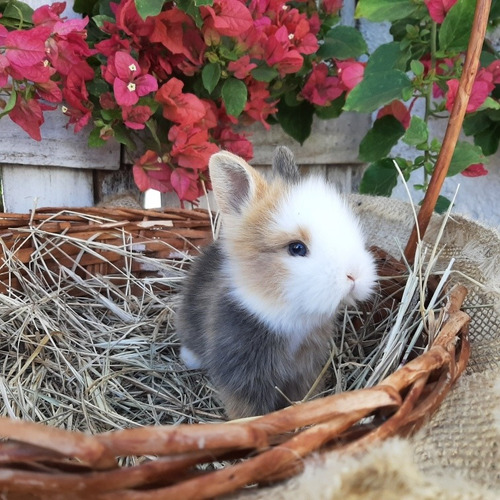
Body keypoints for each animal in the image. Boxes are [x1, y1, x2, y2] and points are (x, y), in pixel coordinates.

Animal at [176, 146, 376, 420]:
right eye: (296, 248)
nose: (354, 275)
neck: (288, 315)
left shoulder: (306, 372)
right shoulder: (242, 377)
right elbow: (248, 413)